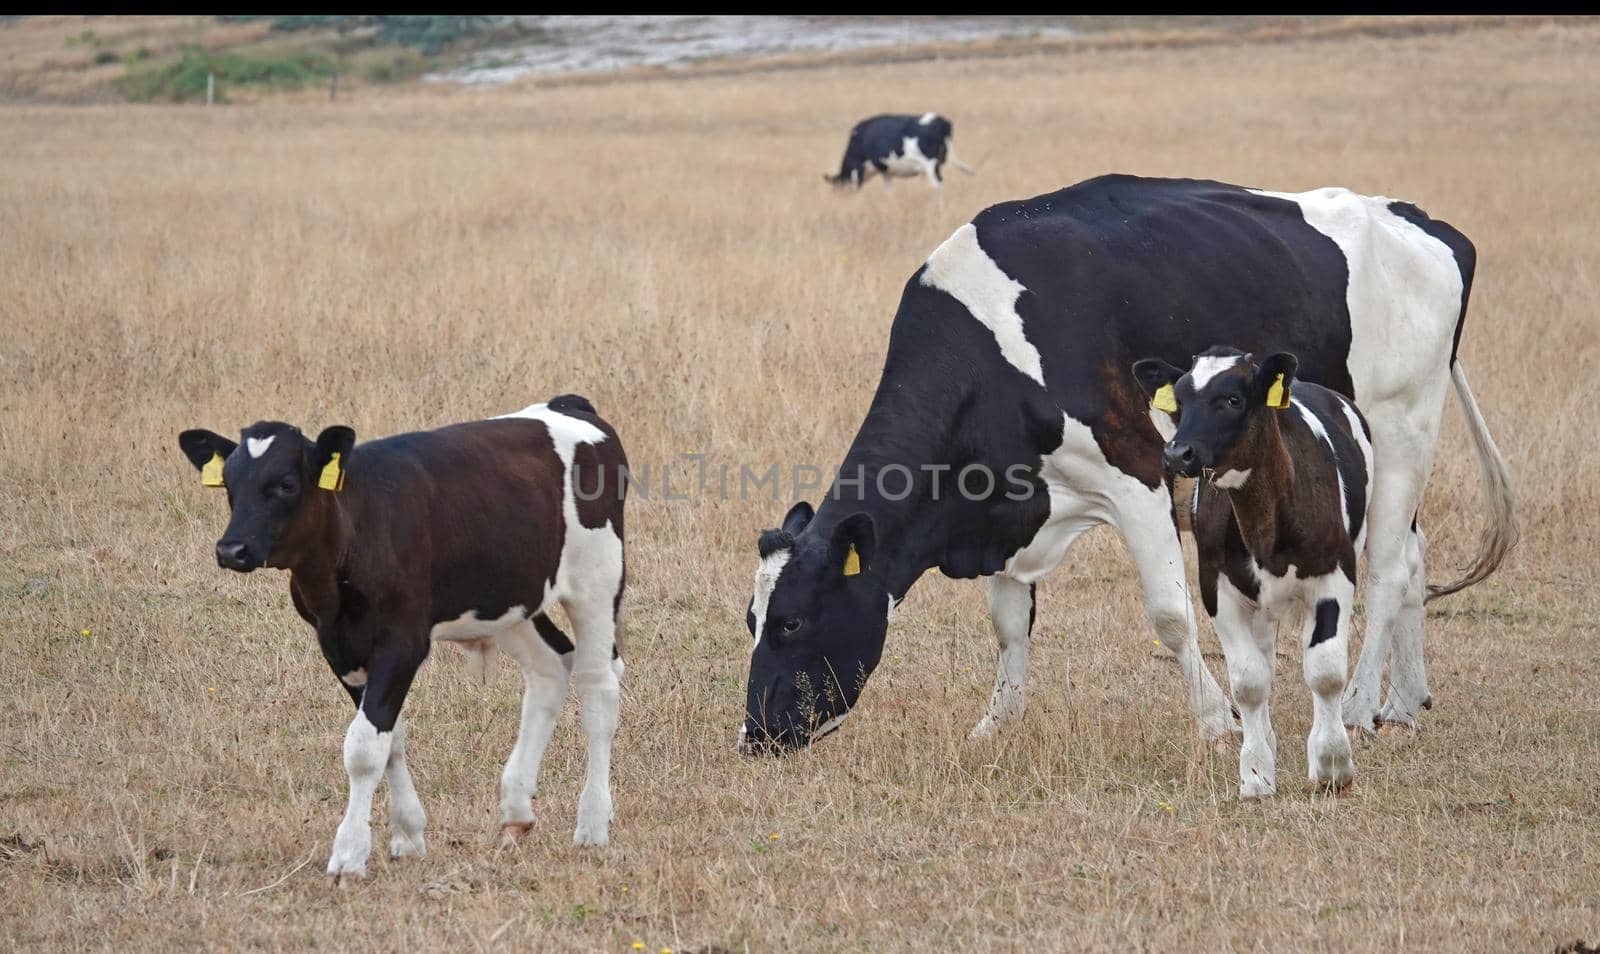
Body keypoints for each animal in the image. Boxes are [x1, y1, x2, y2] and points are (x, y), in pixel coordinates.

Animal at [175, 393, 624, 877]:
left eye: (287, 484)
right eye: (228, 485)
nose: (230, 549)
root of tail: (567, 404)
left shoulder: (403, 642)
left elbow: (363, 748)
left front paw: (349, 854)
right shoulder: (339, 647)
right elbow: (388, 737)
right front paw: (407, 834)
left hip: (597, 580)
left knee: (598, 690)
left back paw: (592, 825)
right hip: (509, 598)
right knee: (550, 669)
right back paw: (516, 810)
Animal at [825, 112, 972, 193]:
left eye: (839, 188)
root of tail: (944, 122)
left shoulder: (880, 167)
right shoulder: (887, 170)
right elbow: (889, 191)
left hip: (930, 163)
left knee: (936, 185)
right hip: (937, 164)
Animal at [1139, 344, 1376, 797]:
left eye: (1233, 400)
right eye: (1179, 402)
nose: (1177, 454)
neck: (1265, 522)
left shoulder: (1335, 574)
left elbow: (1325, 671)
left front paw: (1332, 763)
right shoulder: (1217, 586)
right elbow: (1249, 681)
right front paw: (1256, 773)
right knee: (1264, 656)